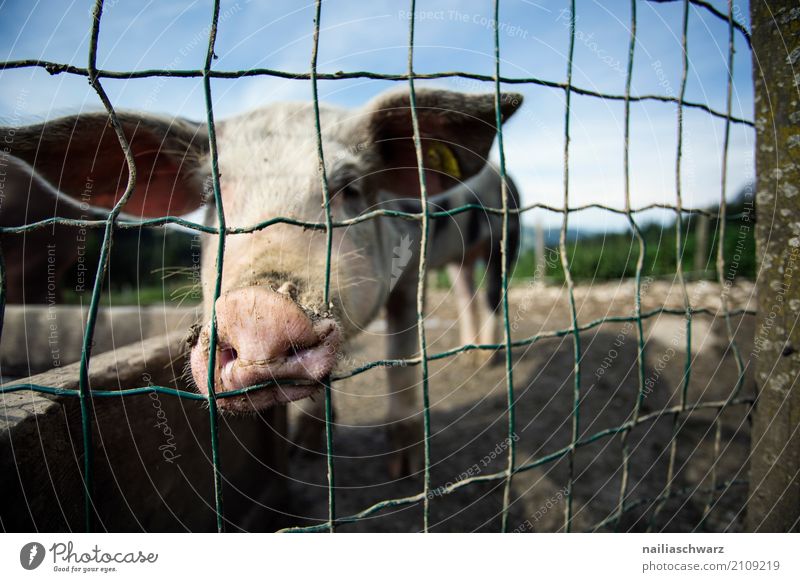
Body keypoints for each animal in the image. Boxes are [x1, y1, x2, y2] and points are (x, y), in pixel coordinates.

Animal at [4, 89, 524, 476]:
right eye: (213, 196)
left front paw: (407, 471)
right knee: (466, 289)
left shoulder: (407, 279)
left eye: (349, 188)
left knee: (493, 295)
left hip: (507, 236)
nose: (255, 310)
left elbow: (401, 361)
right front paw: (302, 452)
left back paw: (490, 362)